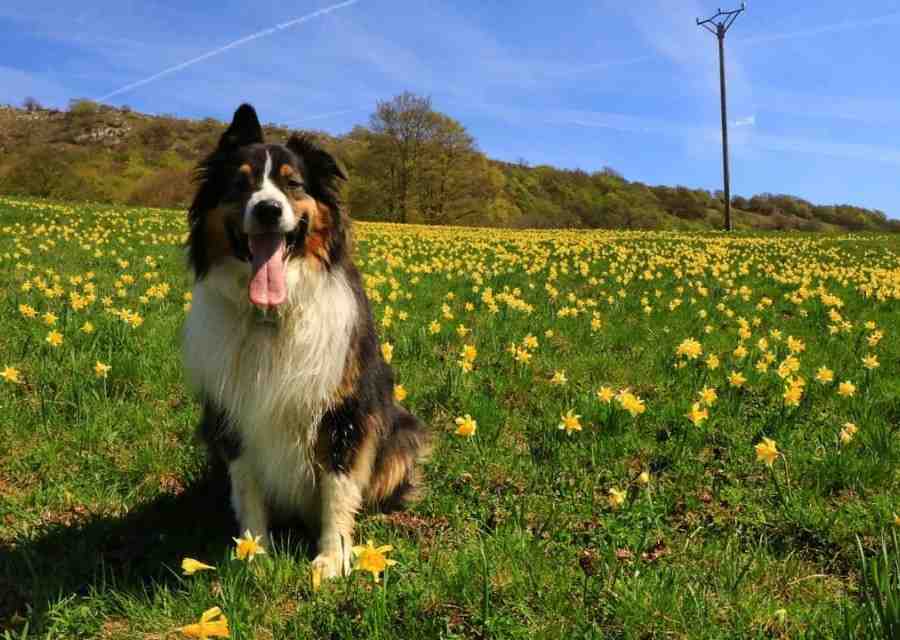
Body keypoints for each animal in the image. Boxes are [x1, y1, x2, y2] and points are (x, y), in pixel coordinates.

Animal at [183, 104, 428, 580]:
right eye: (240, 184)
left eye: (292, 183)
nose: (268, 209)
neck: (271, 317)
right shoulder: (232, 413)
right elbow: (248, 488)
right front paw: (253, 555)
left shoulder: (342, 411)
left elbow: (337, 488)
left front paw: (333, 560)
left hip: (401, 434)